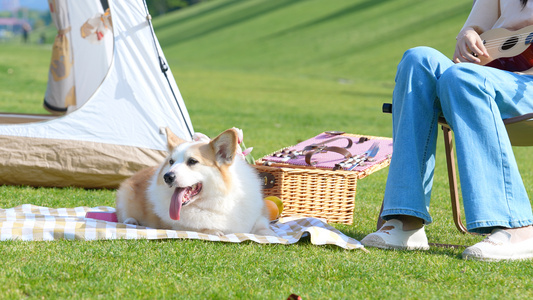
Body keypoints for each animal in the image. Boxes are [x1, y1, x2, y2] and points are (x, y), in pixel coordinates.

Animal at [115, 126, 274, 237]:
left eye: (192, 161)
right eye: (171, 162)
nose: (167, 176)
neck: (218, 198)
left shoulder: (258, 215)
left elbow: (262, 225)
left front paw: (269, 234)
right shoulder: (179, 225)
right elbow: (200, 227)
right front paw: (214, 231)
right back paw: (131, 221)